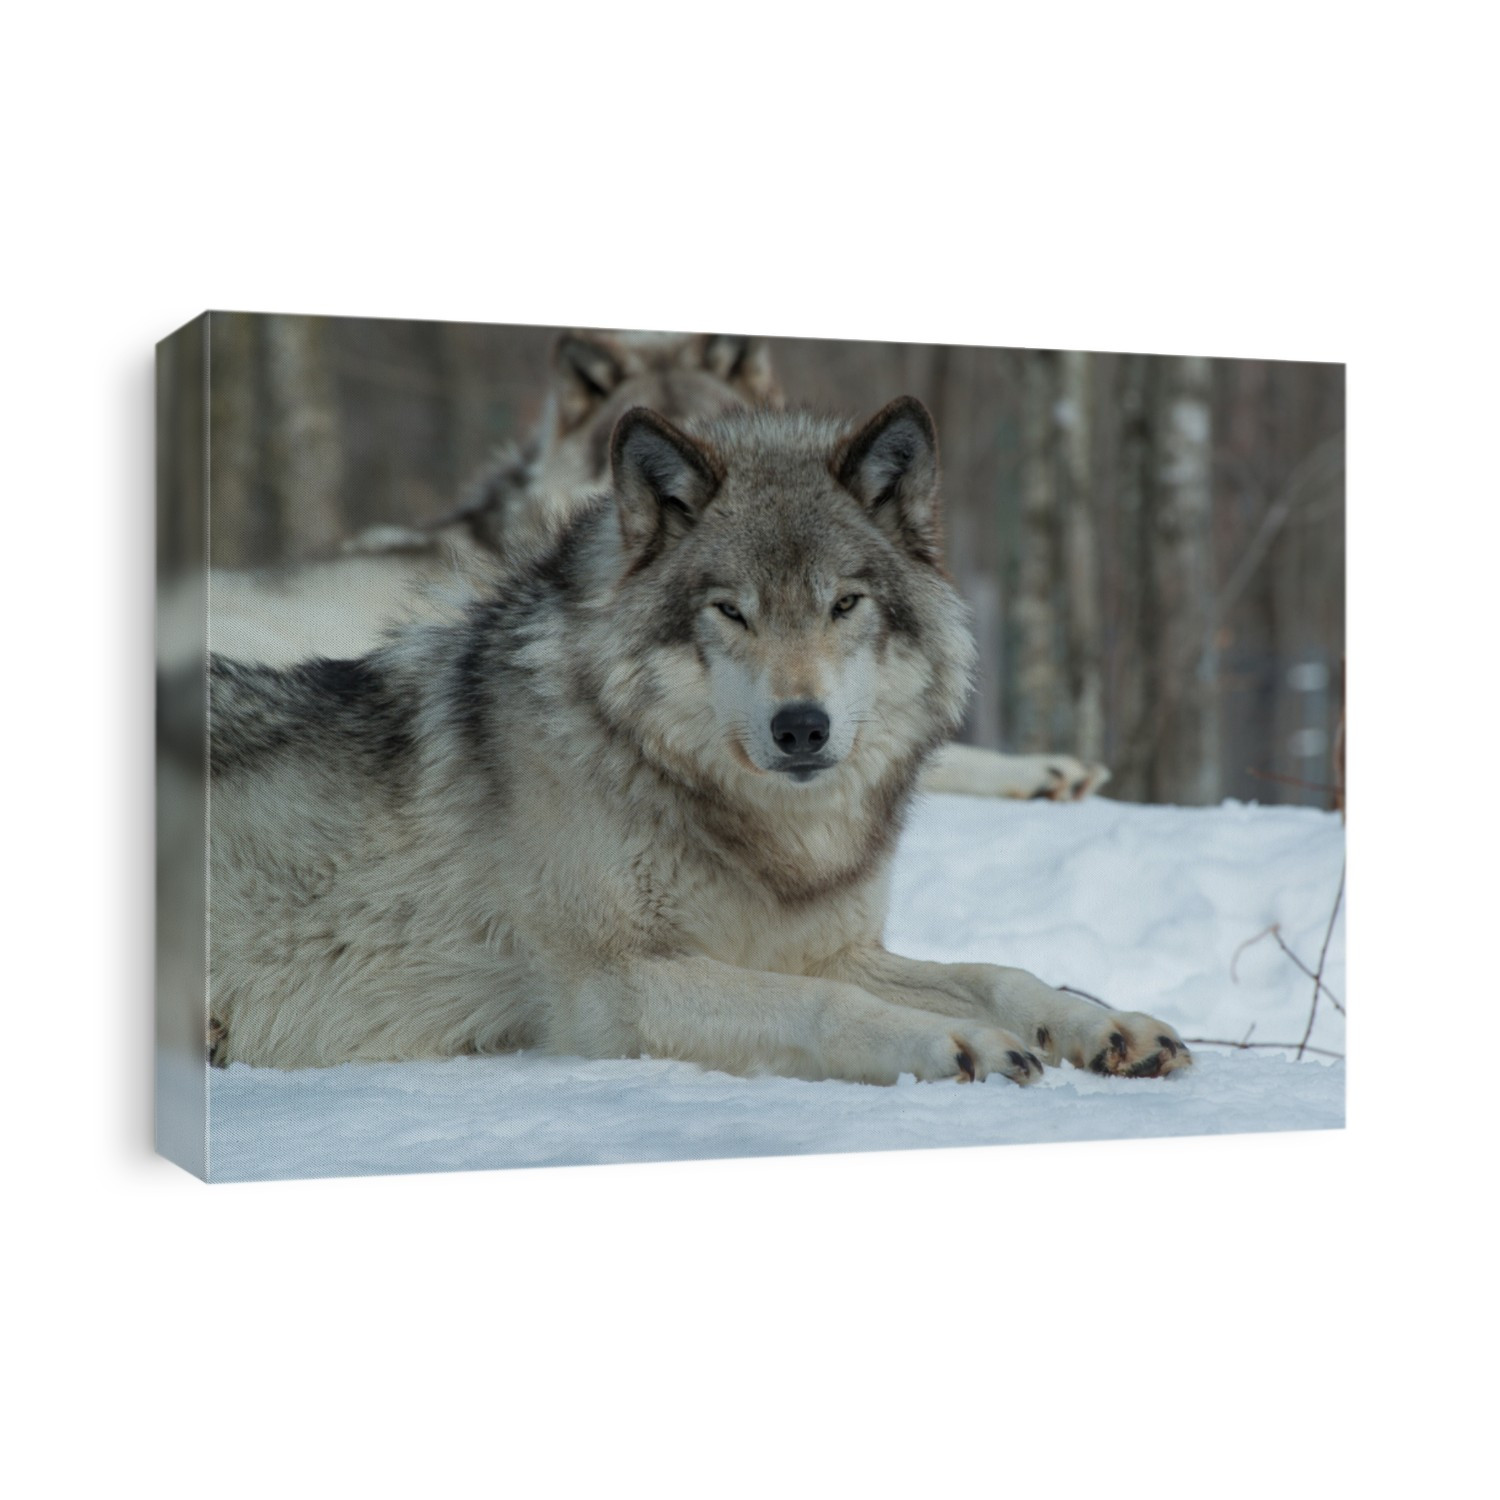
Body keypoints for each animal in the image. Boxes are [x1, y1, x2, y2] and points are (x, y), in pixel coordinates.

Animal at [205, 396, 1187, 1084]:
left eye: (845, 603)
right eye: (731, 611)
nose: (802, 726)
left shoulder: (835, 948)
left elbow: (998, 972)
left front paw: (1104, 1025)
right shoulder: (616, 989)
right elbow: (821, 1003)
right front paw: (945, 1040)